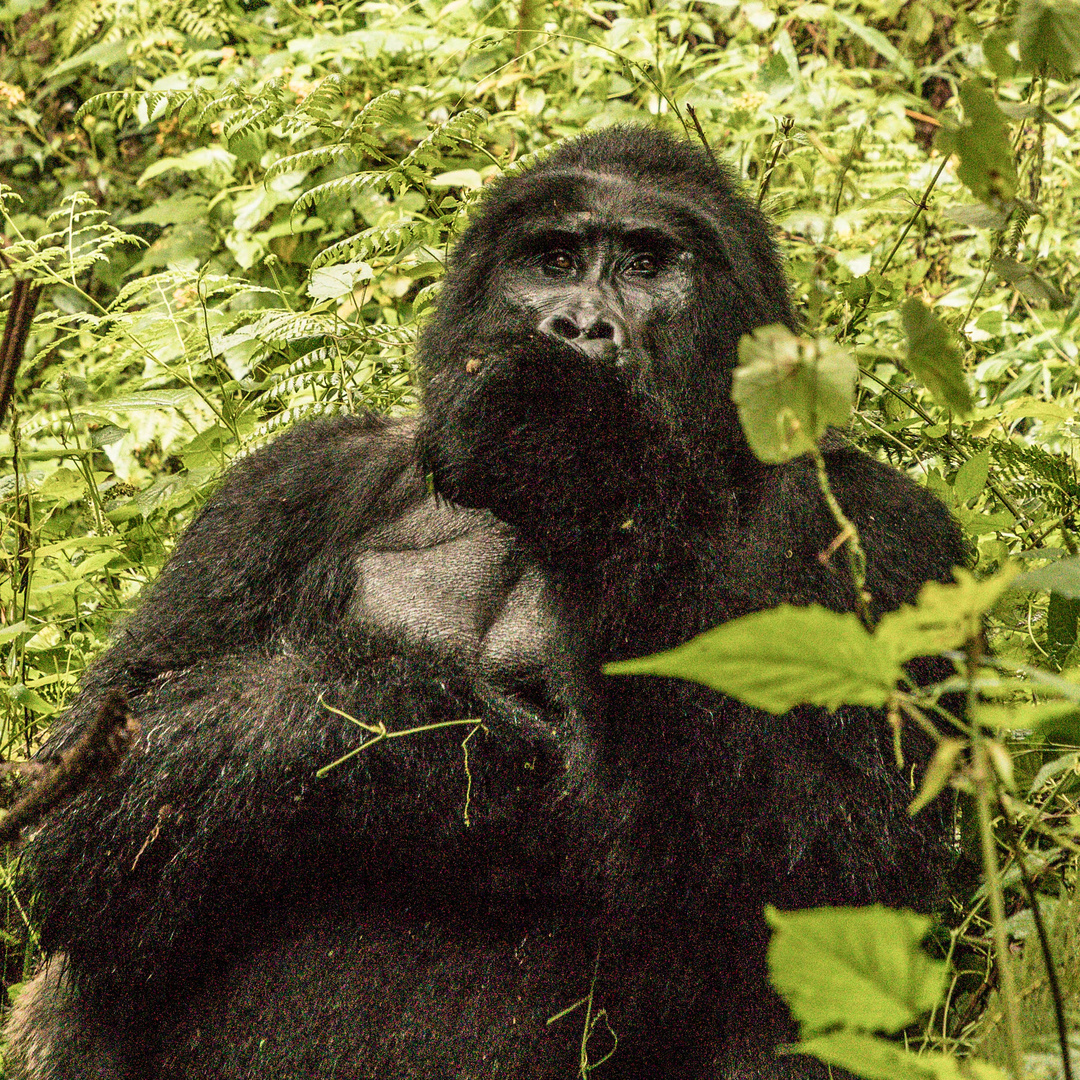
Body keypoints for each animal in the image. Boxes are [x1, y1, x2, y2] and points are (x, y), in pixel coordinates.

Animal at [2, 122, 963, 1075]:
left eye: (647, 264)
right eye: (553, 258)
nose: (578, 326)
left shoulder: (886, 533)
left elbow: (830, 872)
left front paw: (576, 450)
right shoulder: (282, 485)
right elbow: (90, 793)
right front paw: (415, 740)